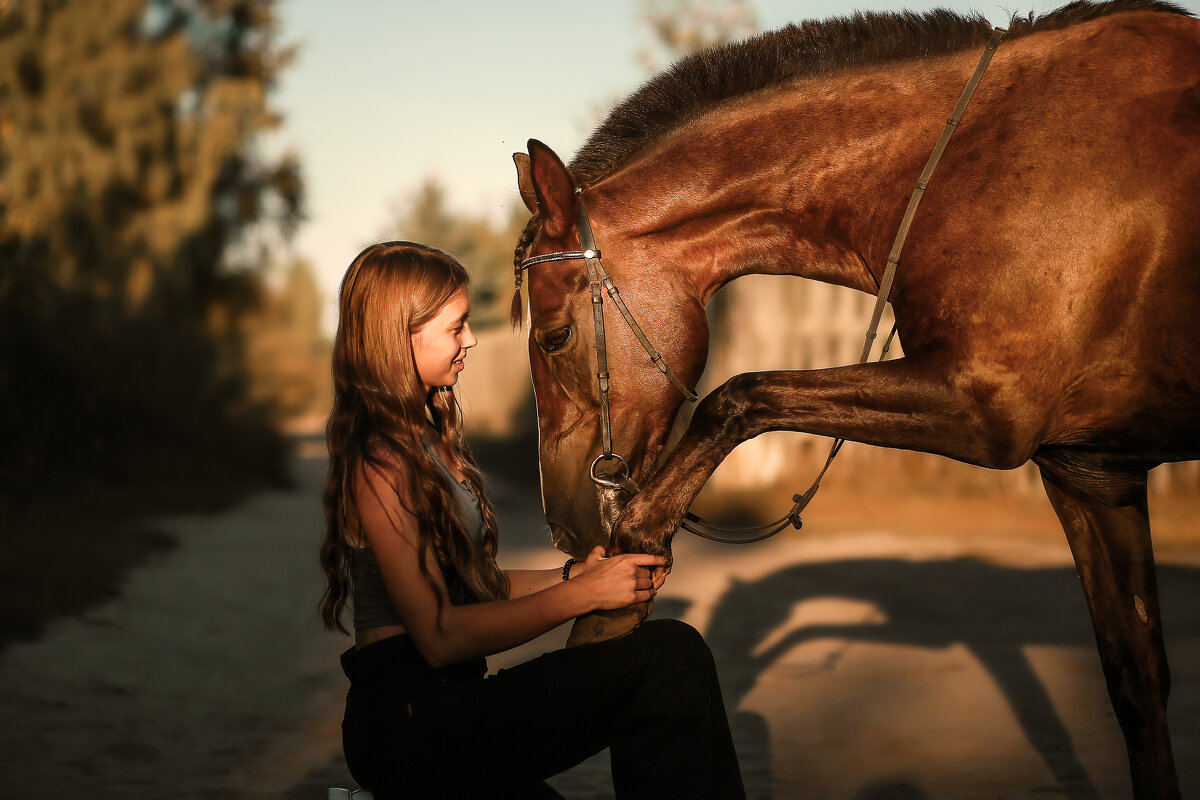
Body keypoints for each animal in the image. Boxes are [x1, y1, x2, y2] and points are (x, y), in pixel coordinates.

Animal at [513, 3, 1200, 796]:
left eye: (556, 337)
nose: (564, 525)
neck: (974, 158)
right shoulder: (1094, 476)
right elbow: (1136, 686)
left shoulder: (985, 408)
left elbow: (736, 400)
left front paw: (622, 580)